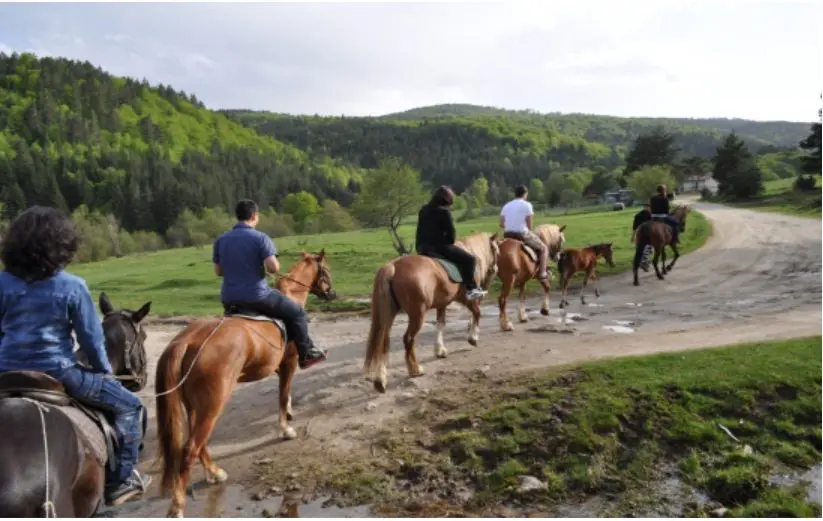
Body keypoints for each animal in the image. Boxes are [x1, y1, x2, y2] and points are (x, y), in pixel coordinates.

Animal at [154, 250, 334, 516]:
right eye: (327, 270)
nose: (332, 294)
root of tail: (186, 340)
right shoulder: (288, 365)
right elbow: (283, 396)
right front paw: (285, 429)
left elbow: (286, 396)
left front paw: (290, 414)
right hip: (213, 404)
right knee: (190, 449)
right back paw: (177, 505)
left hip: (195, 405)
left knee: (198, 443)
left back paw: (214, 473)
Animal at [364, 230, 498, 392]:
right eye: (495, 249)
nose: (495, 270)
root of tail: (393, 267)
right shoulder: (468, 299)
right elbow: (477, 313)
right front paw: (473, 338)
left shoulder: (442, 304)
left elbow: (440, 324)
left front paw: (440, 350)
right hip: (417, 315)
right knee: (408, 339)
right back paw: (415, 370)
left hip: (389, 314)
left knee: (383, 342)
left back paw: (380, 380)